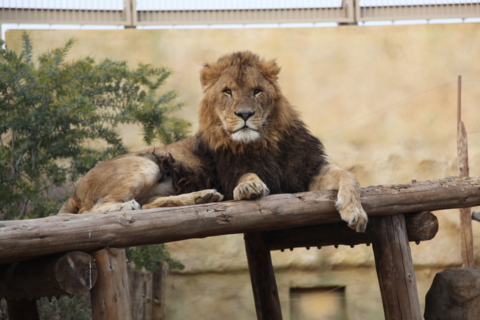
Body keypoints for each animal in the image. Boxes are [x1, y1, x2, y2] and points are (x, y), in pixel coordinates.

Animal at [193, 50, 366, 232]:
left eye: (257, 91)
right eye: (227, 91)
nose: (245, 114)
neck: (262, 143)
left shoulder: (307, 173)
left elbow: (348, 175)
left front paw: (355, 211)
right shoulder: (229, 178)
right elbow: (245, 174)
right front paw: (248, 186)